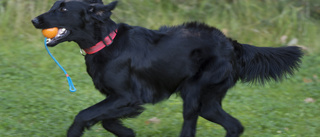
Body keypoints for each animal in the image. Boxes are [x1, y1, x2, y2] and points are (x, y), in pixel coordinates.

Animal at [31, 0, 304, 136]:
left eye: (63, 9)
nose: (34, 20)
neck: (107, 42)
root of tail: (231, 44)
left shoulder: (126, 96)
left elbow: (84, 115)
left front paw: (76, 131)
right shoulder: (120, 100)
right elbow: (106, 120)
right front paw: (127, 132)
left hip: (195, 94)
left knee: (193, 127)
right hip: (208, 101)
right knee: (234, 126)